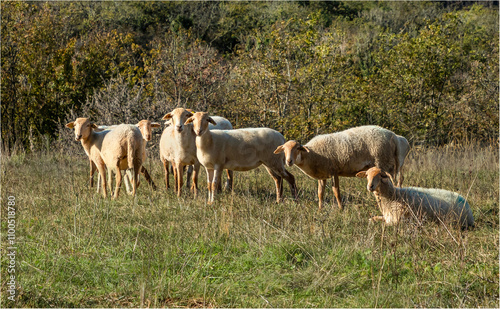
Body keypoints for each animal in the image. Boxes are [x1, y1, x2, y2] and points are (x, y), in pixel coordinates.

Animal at [274, 124, 410, 209]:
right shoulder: (322, 175)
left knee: (393, 183)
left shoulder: (334, 170)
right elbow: (320, 193)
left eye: (297, 148)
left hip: (384, 162)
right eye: (284, 149)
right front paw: (320, 209)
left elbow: (336, 192)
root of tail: (395, 137)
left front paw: (341, 208)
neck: (312, 154)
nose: (289, 161)